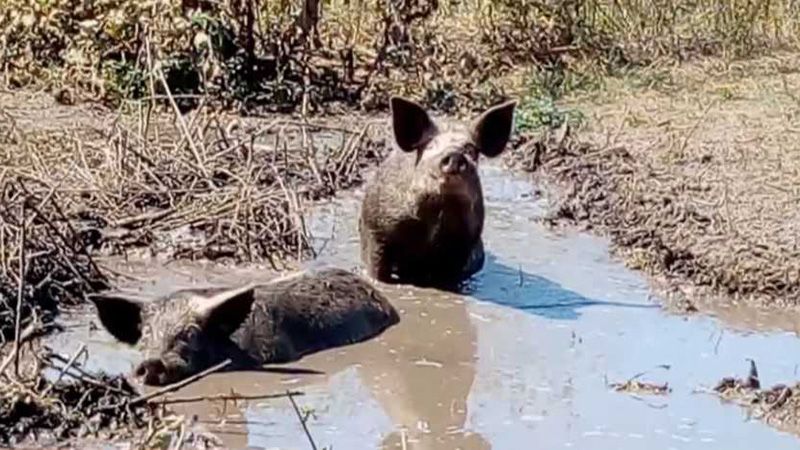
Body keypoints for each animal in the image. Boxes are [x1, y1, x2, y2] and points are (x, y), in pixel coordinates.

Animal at [360, 97, 516, 288]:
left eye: (471, 149)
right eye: (429, 145)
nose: (455, 154)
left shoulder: (463, 244)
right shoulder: (375, 228)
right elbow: (377, 270)